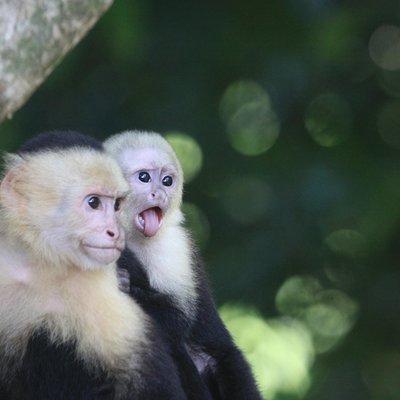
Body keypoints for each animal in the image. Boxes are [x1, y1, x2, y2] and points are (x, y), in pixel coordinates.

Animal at [0, 138, 188, 400]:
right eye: (94, 203)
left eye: (117, 205)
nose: (115, 232)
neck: (40, 266)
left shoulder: (98, 287)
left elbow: (151, 381)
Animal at [103, 131, 264, 400]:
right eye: (144, 177)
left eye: (167, 181)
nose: (160, 194)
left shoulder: (172, 246)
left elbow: (175, 317)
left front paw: (124, 283)